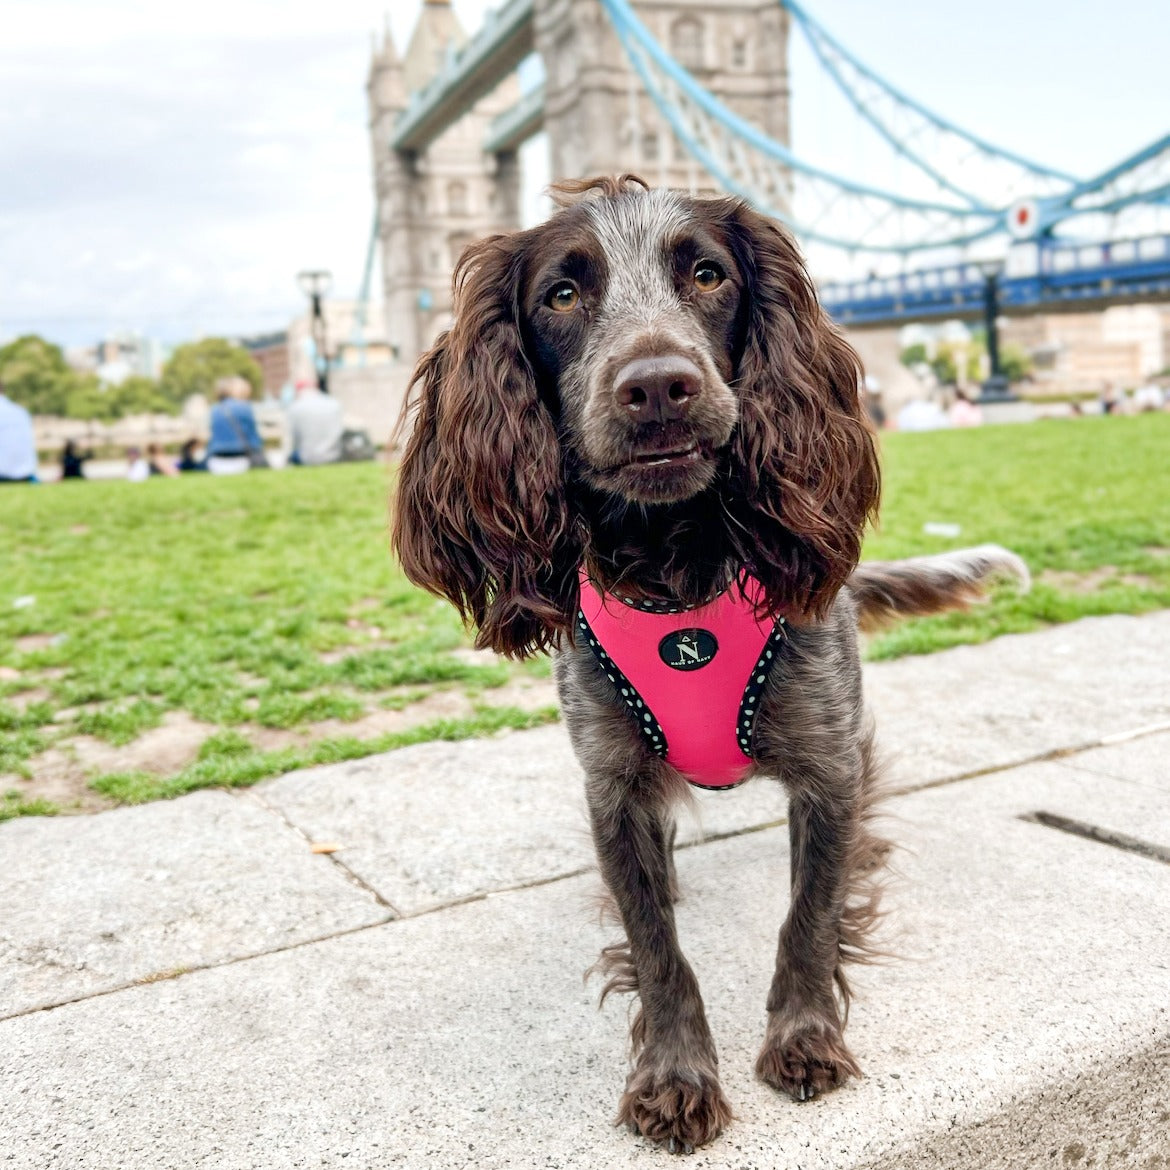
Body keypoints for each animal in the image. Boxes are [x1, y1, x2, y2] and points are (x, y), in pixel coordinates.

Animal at [390, 175, 1024, 1151]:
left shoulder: (830, 768)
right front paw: (675, 1075)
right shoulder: (612, 785)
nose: (658, 385)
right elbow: (656, 947)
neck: (677, 569)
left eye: (707, 274)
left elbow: (810, 916)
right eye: (561, 294)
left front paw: (805, 1037)